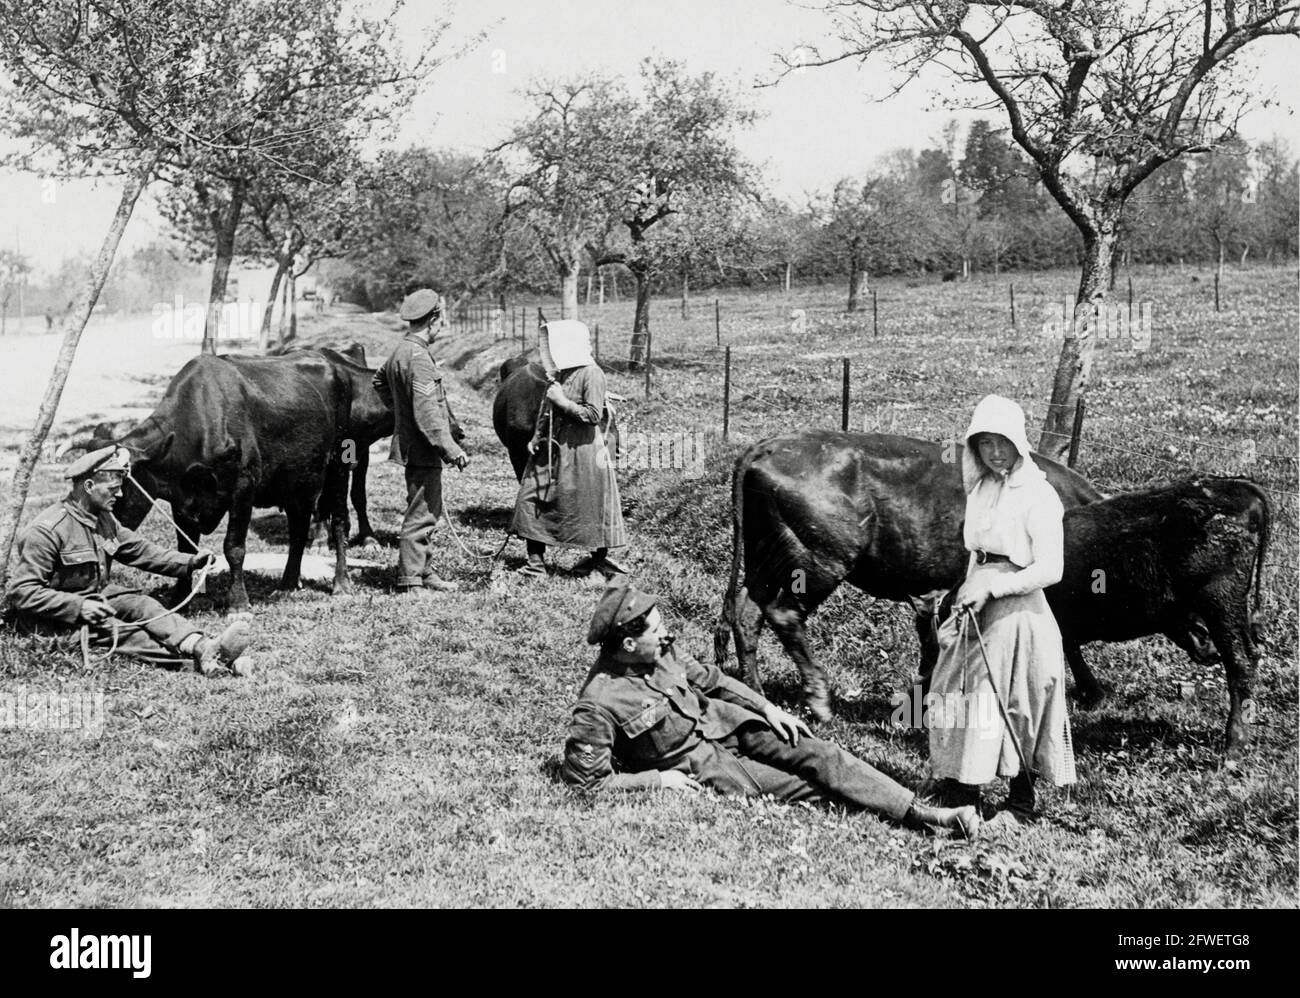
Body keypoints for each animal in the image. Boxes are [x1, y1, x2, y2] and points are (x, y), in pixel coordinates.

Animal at [717, 428, 1102, 717]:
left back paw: (756, 693)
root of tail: (767, 447)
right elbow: (1065, 638)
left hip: (766, 558)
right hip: (820, 562)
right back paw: (819, 699)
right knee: (783, 613)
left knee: (747, 612)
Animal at [915, 478, 1268, 758]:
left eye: (934, 643)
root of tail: (1237, 487)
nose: (920, 696)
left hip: (1221, 602)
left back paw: (1234, 745)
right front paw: (1094, 694)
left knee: (1241, 661)